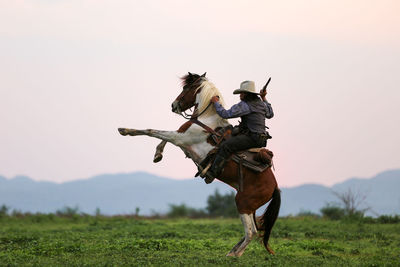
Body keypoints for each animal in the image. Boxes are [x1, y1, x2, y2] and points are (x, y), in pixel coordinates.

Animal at [118, 73, 282, 258]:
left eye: (185, 88)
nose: (174, 105)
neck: (207, 119)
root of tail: (275, 186)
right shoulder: (181, 139)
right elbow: (162, 137)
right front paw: (157, 154)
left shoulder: (180, 138)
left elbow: (153, 131)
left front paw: (126, 130)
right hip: (250, 207)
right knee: (253, 229)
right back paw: (232, 251)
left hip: (243, 203)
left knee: (251, 232)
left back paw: (234, 255)